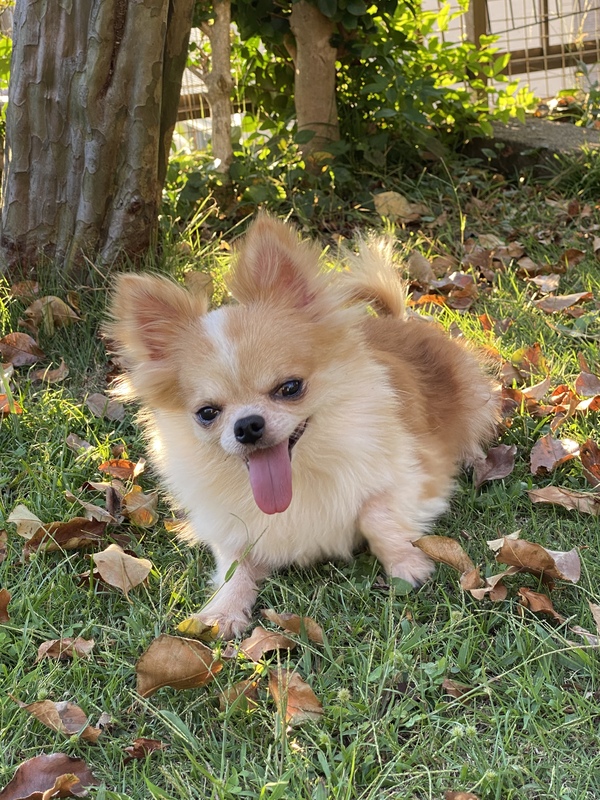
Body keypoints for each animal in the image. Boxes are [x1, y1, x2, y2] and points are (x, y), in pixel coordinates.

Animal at [107, 215, 500, 638]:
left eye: (290, 388)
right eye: (207, 413)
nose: (247, 425)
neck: (298, 477)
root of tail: (398, 321)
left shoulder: (419, 477)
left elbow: (375, 515)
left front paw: (407, 565)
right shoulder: (232, 527)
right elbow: (234, 566)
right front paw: (223, 610)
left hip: (472, 394)